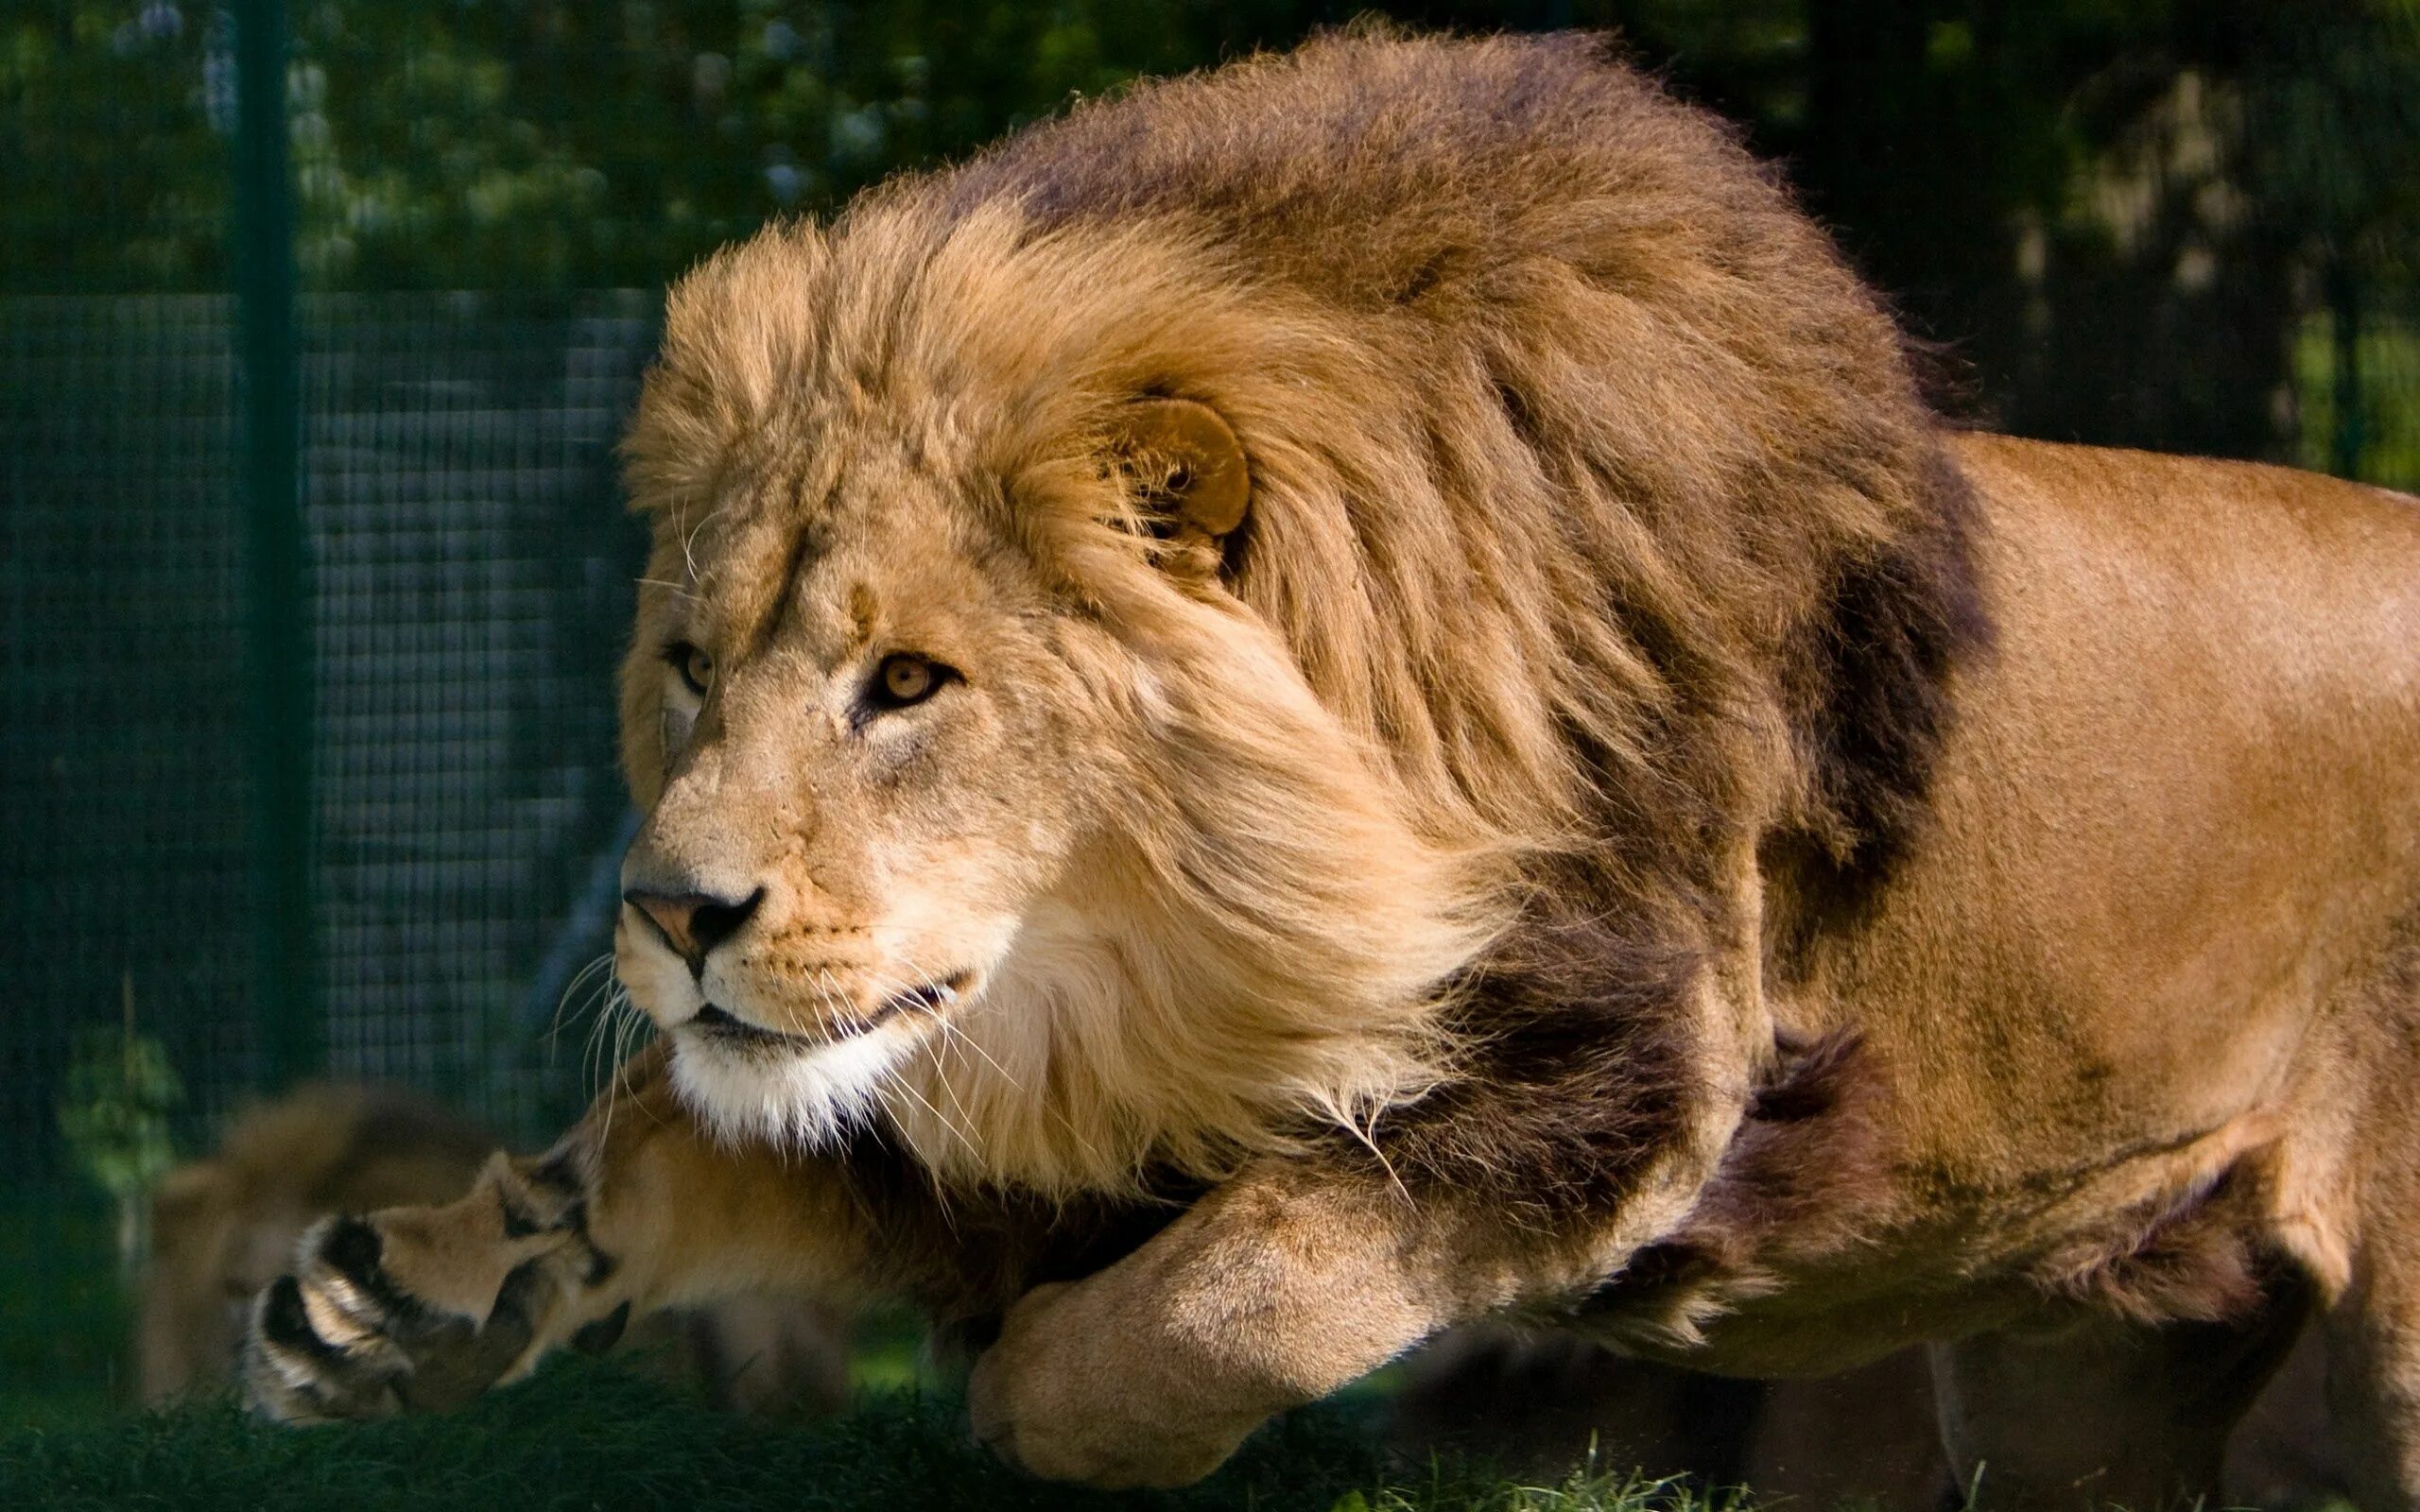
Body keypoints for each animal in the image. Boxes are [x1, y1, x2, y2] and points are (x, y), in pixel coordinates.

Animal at [240, 29, 2420, 1500]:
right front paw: (395, 1299)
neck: (1150, 972)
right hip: (2079, 1375)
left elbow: (1239, 1288)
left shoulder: (1634, 1063)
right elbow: (674, 1143)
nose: (669, 913)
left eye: (908, 683)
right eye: (692, 668)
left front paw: (1030, 1384)